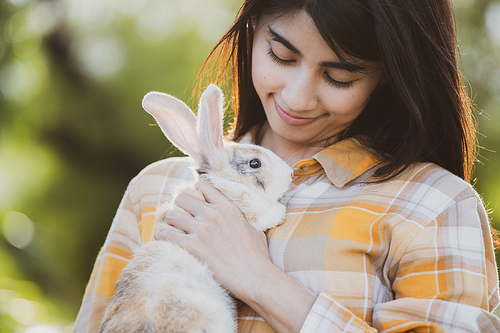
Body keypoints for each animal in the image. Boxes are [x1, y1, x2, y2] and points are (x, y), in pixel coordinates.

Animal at [97, 84, 292, 332]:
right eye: (254, 163)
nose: (291, 174)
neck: (223, 183)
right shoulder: (250, 206)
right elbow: (267, 212)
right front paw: (281, 212)